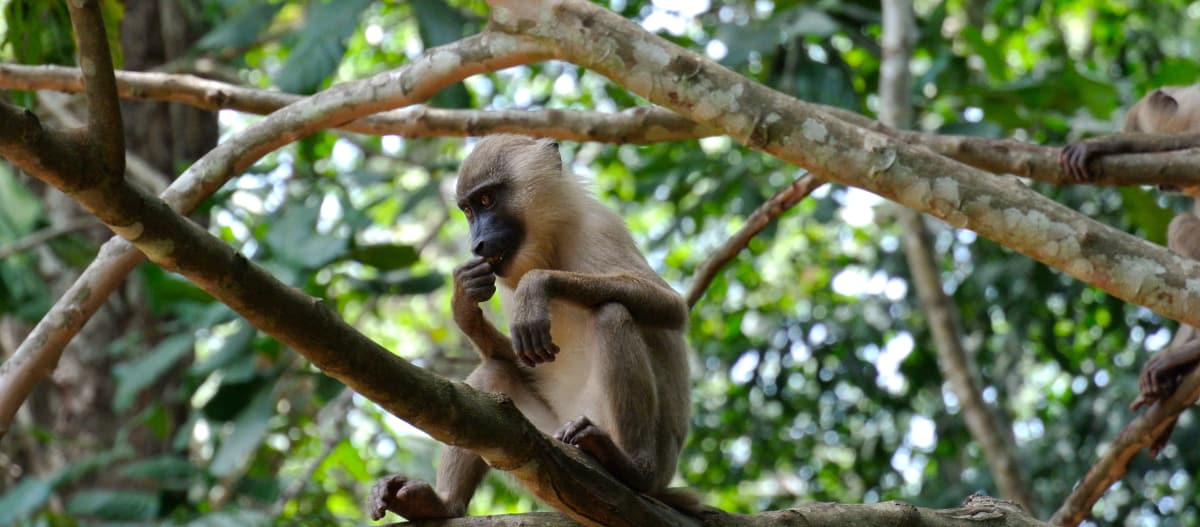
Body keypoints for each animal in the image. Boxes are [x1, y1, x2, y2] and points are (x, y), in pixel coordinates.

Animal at [369, 133, 700, 520]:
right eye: (468, 211)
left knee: (612, 313)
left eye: (487, 199)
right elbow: (512, 356)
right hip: (553, 434)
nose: (477, 244)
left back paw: (632, 469)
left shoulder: (599, 227)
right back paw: (440, 504)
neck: (550, 241)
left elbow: (672, 307)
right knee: (495, 376)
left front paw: (537, 285)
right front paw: (463, 301)